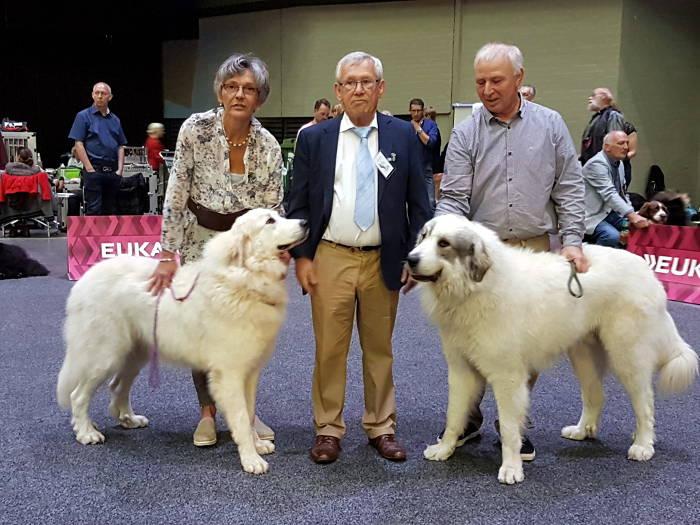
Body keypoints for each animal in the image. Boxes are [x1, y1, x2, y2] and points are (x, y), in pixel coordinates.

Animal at [58, 209, 310, 474]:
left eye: (279, 215)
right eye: (270, 221)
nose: (305, 222)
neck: (243, 279)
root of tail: (84, 279)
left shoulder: (250, 372)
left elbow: (249, 413)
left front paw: (257, 445)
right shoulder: (229, 374)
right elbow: (241, 417)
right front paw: (251, 459)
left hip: (135, 353)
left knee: (117, 386)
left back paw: (129, 419)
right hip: (104, 354)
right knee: (78, 395)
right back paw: (86, 432)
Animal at [408, 213, 696, 484]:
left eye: (443, 244)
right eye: (423, 236)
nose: (410, 259)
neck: (475, 287)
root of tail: (647, 271)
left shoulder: (507, 378)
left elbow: (510, 428)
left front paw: (511, 468)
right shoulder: (460, 371)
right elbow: (454, 416)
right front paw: (444, 449)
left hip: (628, 356)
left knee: (645, 403)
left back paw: (643, 444)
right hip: (583, 355)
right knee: (596, 395)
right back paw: (582, 431)